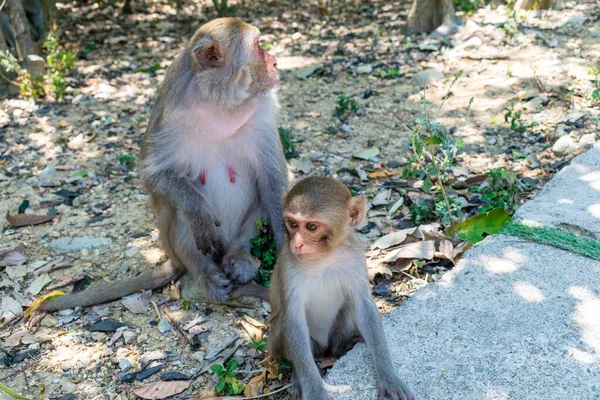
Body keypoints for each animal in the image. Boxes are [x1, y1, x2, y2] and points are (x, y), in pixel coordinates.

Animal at [270, 177, 414, 400]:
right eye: (293, 224)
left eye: (312, 226)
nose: (297, 244)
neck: (323, 257)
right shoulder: (288, 263)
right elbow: (292, 319)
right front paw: (314, 390)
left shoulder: (354, 256)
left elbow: (363, 306)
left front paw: (388, 376)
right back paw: (296, 375)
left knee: (348, 307)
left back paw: (343, 347)